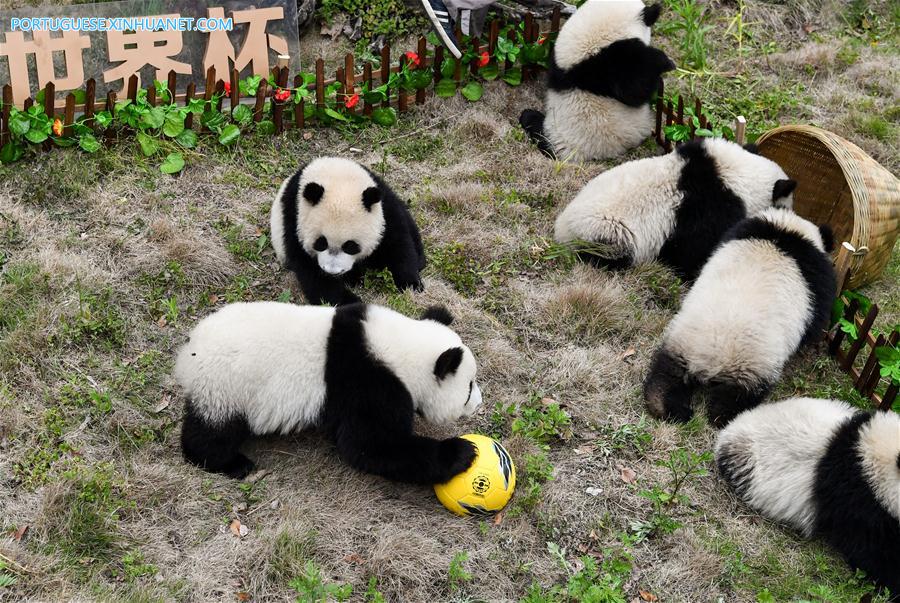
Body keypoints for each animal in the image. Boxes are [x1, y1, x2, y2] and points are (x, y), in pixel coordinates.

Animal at [176, 301, 483, 482]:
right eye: (469, 387)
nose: (478, 403)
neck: (401, 350)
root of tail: (188, 354)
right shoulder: (368, 383)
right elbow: (370, 445)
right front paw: (462, 452)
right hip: (226, 386)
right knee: (213, 432)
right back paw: (232, 464)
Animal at [270, 157, 426, 306]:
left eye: (350, 246)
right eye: (321, 243)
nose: (332, 271)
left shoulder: (384, 207)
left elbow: (397, 243)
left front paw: (410, 284)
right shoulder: (294, 219)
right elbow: (310, 271)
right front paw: (350, 302)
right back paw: (355, 278)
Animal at [643, 207, 836, 427]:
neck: (785, 232)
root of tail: (709, 361)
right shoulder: (816, 278)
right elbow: (817, 316)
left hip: (680, 343)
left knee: (666, 376)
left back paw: (670, 409)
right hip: (751, 366)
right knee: (736, 398)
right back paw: (721, 417)